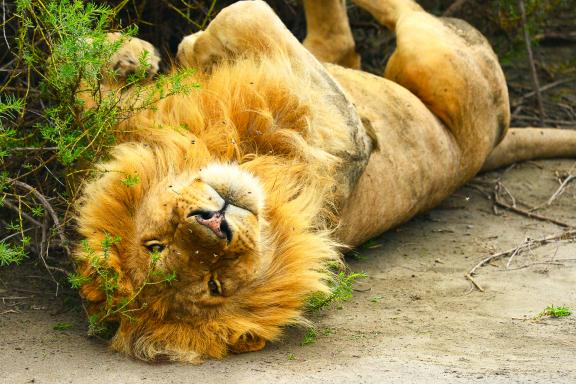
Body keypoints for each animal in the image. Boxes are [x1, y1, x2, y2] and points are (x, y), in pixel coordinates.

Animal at [72, 0, 576, 364]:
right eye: (214, 285)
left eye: (154, 244)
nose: (215, 224)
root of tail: (493, 145)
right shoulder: (350, 140)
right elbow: (246, 12)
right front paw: (173, 47)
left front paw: (126, 51)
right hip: (437, 57)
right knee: (385, 22)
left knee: (348, 39)